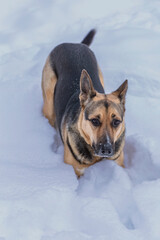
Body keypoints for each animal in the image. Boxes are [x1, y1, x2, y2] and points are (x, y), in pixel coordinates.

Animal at [42, 29, 128, 176]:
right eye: (95, 121)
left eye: (116, 122)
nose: (106, 150)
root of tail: (74, 44)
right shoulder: (76, 170)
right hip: (48, 98)